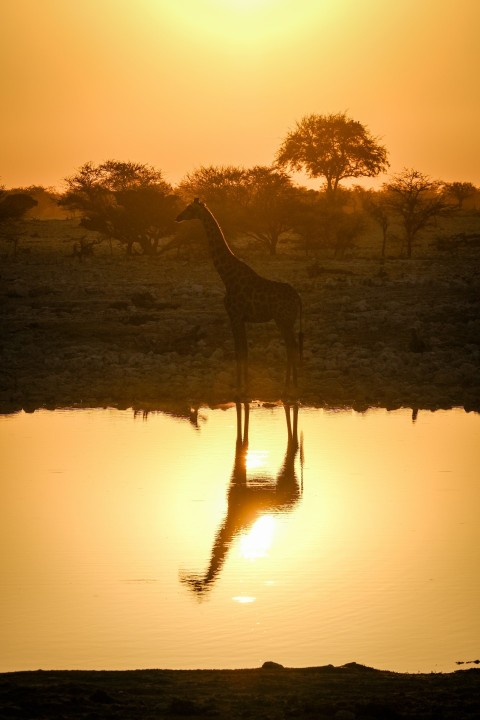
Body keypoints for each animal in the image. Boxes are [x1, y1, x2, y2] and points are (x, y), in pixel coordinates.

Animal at [175, 198, 303, 397]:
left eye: (190, 208)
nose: (177, 217)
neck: (227, 276)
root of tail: (297, 298)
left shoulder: (234, 316)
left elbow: (239, 351)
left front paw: (239, 387)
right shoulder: (240, 318)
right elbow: (243, 351)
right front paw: (244, 386)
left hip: (284, 320)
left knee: (291, 347)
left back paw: (289, 387)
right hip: (284, 321)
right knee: (292, 346)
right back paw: (290, 386)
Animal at [180, 401, 302, 597]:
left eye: (196, 590)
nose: (186, 578)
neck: (231, 517)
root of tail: (298, 496)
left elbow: (241, 443)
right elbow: (243, 435)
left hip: (286, 476)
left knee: (293, 441)